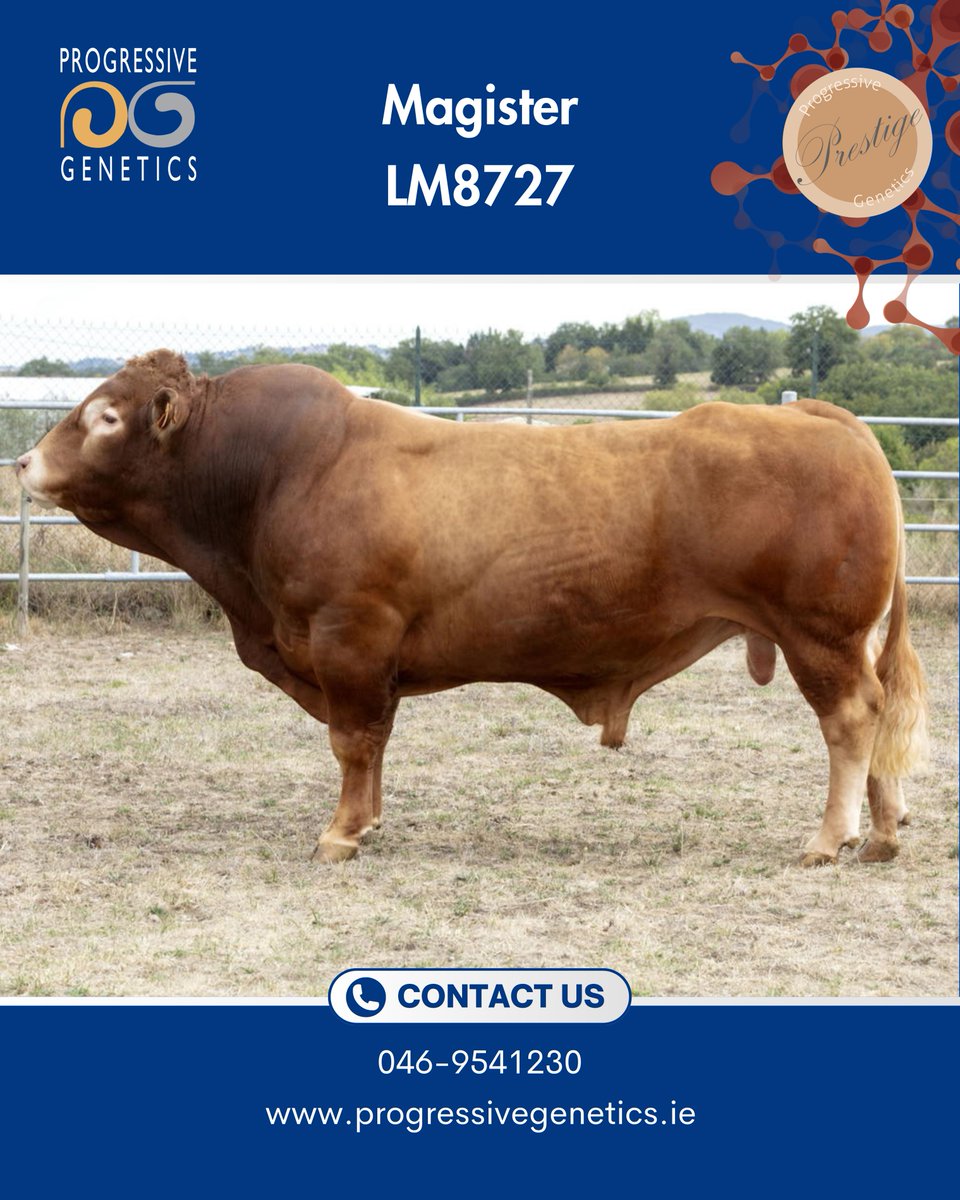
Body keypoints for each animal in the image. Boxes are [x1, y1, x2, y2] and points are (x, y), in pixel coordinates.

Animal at [15, 350, 928, 867]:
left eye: (104, 416)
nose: (23, 462)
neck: (273, 474)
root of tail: (820, 416)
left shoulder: (348, 638)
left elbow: (352, 743)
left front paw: (340, 834)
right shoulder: (368, 660)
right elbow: (376, 745)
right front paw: (371, 823)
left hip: (819, 634)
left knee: (851, 720)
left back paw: (829, 839)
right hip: (843, 638)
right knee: (878, 716)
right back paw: (883, 835)